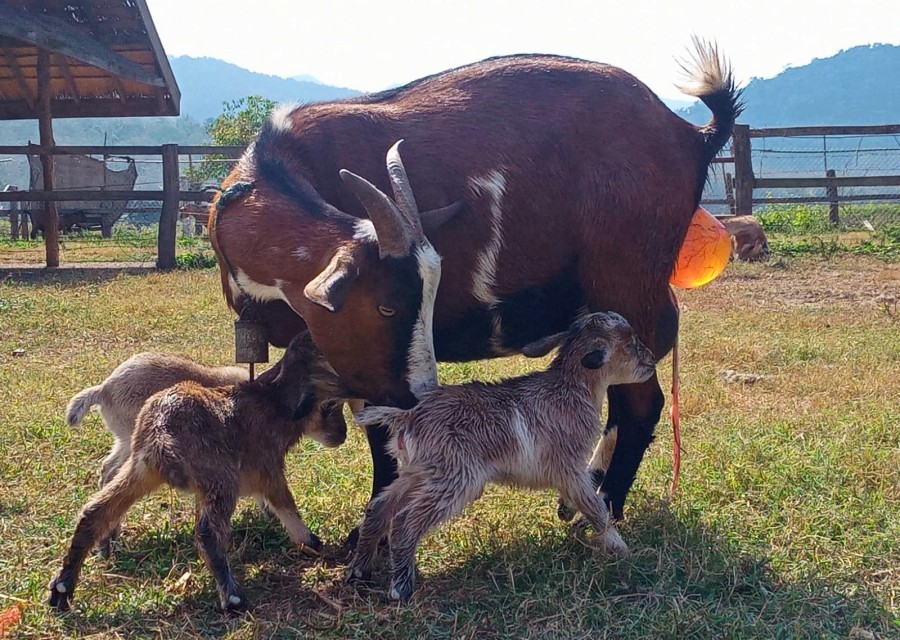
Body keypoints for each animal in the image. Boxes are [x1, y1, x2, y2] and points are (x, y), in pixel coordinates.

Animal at [48, 332, 348, 612]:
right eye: (330, 405)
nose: (342, 435)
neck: (272, 403)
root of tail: (161, 432)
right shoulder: (268, 468)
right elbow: (287, 506)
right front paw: (312, 542)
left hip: (141, 468)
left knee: (95, 511)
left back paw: (65, 586)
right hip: (219, 477)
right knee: (207, 533)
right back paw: (232, 597)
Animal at [209, 40, 740, 540]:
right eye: (387, 307)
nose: (421, 392)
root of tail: (691, 136)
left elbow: (384, 439)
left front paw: (371, 530)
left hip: (628, 284)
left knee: (641, 402)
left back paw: (605, 506)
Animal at [350, 312, 652, 604]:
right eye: (631, 342)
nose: (650, 359)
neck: (571, 388)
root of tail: (409, 417)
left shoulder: (571, 471)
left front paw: (567, 511)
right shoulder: (569, 466)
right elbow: (596, 508)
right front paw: (621, 548)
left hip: (419, 472)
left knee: (378, 509)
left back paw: (359, 572)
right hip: (456, 478)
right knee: (404, 524)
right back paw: (400, 588)